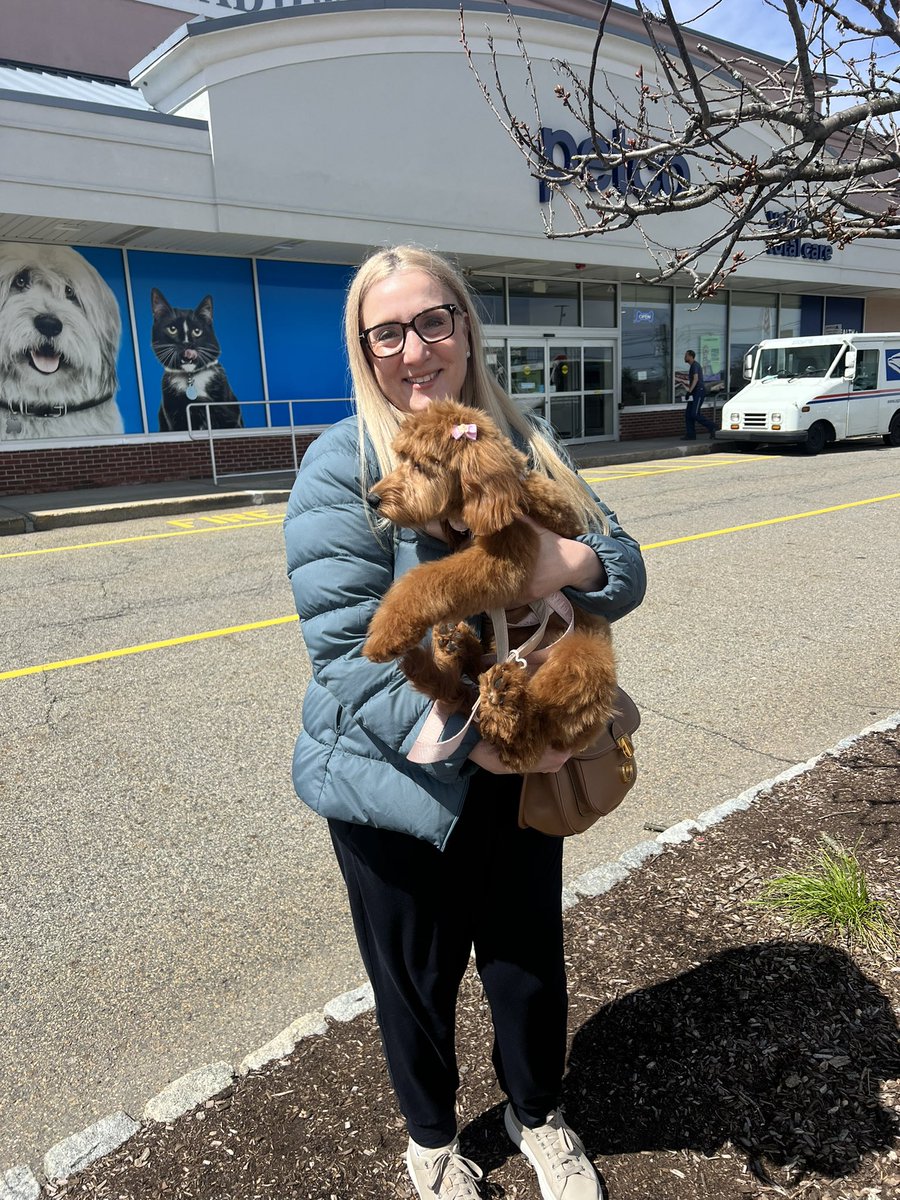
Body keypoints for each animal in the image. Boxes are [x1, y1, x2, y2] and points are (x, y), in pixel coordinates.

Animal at [362, 398, 619, 772]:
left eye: (421, 465)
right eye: (401, 458)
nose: (372, 499)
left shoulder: (509, 556)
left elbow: (428, 579)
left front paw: (386, 632)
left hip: (583, 657)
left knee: (527, 738)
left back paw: (505, 701)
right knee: (466, 687)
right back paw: (454, 648)